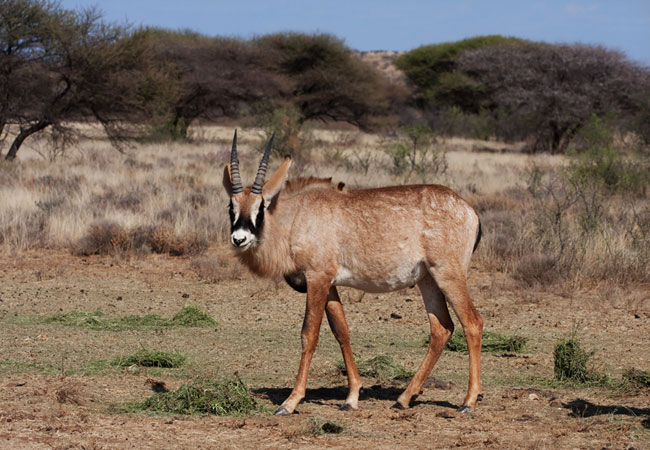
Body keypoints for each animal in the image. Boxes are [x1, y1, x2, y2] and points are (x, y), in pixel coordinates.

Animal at [223, 129, 480, 414]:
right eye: (231, 207)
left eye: (261, 206)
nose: (240, 238)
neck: (296, 216)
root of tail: (468, 210)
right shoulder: (330, 285)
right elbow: (341, 331)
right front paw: (352, 397)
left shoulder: (317, 278)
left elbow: (309, 334)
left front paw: (290, 401)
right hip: (428, 280)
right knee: (441, 329)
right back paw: (404, 398)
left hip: (449, 276)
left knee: (472, 323)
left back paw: (468, 401)